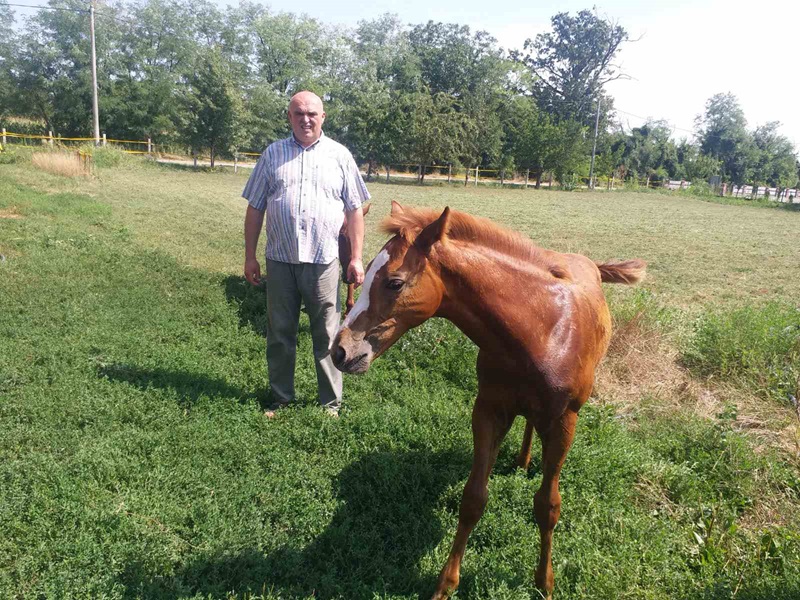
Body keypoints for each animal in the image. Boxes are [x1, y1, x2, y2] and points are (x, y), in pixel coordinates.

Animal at [332, 203, 648, 600]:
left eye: (394, 282)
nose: (340, 351)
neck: (542, 330)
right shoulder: (488, 411)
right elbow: (473, 499)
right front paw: (445, 584)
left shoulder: (564, 422)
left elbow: (548, 506)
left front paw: (544, 582)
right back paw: (523, 458)